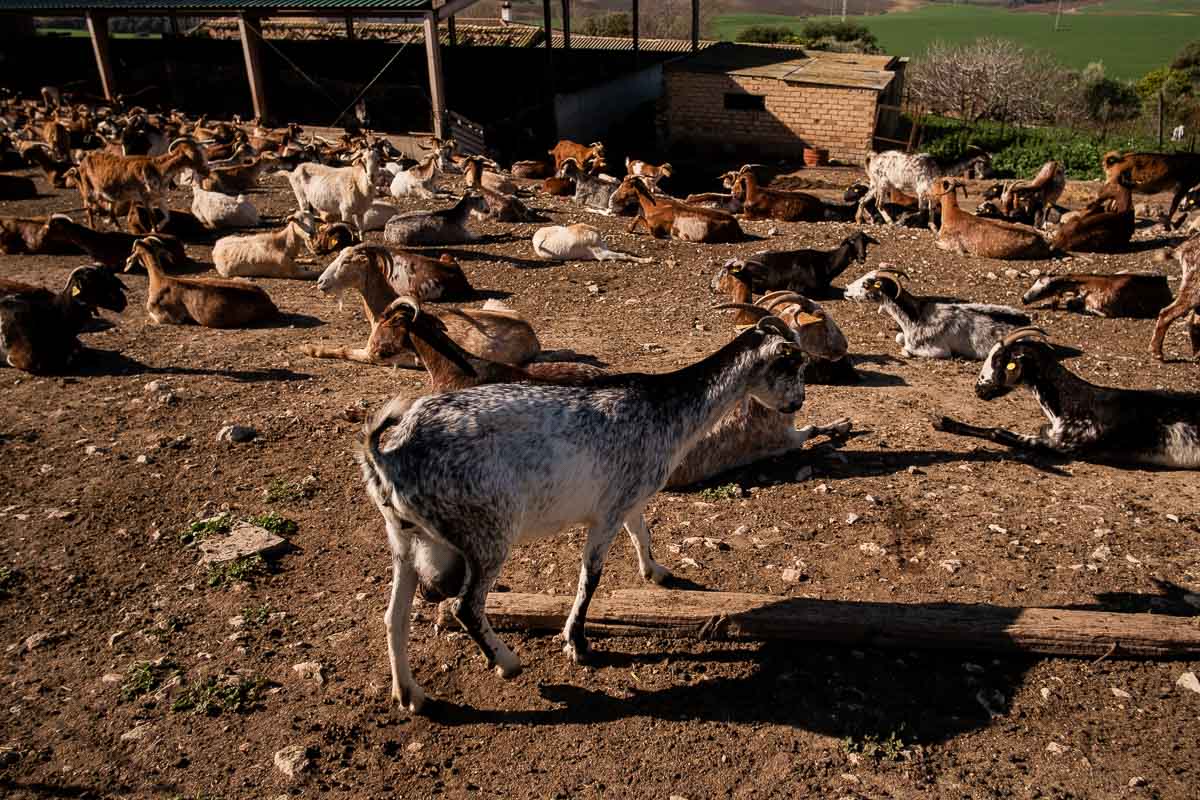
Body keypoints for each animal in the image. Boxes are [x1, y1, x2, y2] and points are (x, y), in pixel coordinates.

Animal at [358, 314, 811, 712]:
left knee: (393, 617)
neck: (664, 406)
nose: (798, 401)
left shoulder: (628, 497)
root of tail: (389, 454)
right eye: (794, 364)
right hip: (487, 531)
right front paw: (576, 643)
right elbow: (590, 577)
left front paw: (656, 573)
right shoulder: (606, 514)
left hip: (404, 540)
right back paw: (507, 662)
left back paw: (410, 694)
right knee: (465, 606)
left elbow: (641, 532)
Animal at [612, 176, 742, 243]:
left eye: (625, 185)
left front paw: (629, 229)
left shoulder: (655, 230)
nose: (615, 198)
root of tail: (737, 226)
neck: (653, 206)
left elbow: (640, 217)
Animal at [845, 266, 1030, 360]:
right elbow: (899, 338)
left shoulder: (939, 350)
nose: (846, 291)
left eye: (866, 284)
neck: (917, 315)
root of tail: (1028, 322)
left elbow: (906, 350)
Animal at [935, 327, 1200, 468]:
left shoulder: (1063, 445)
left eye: (999, 360)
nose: (979, 390)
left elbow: (997, 432)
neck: (1072, 402)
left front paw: (943, 422)